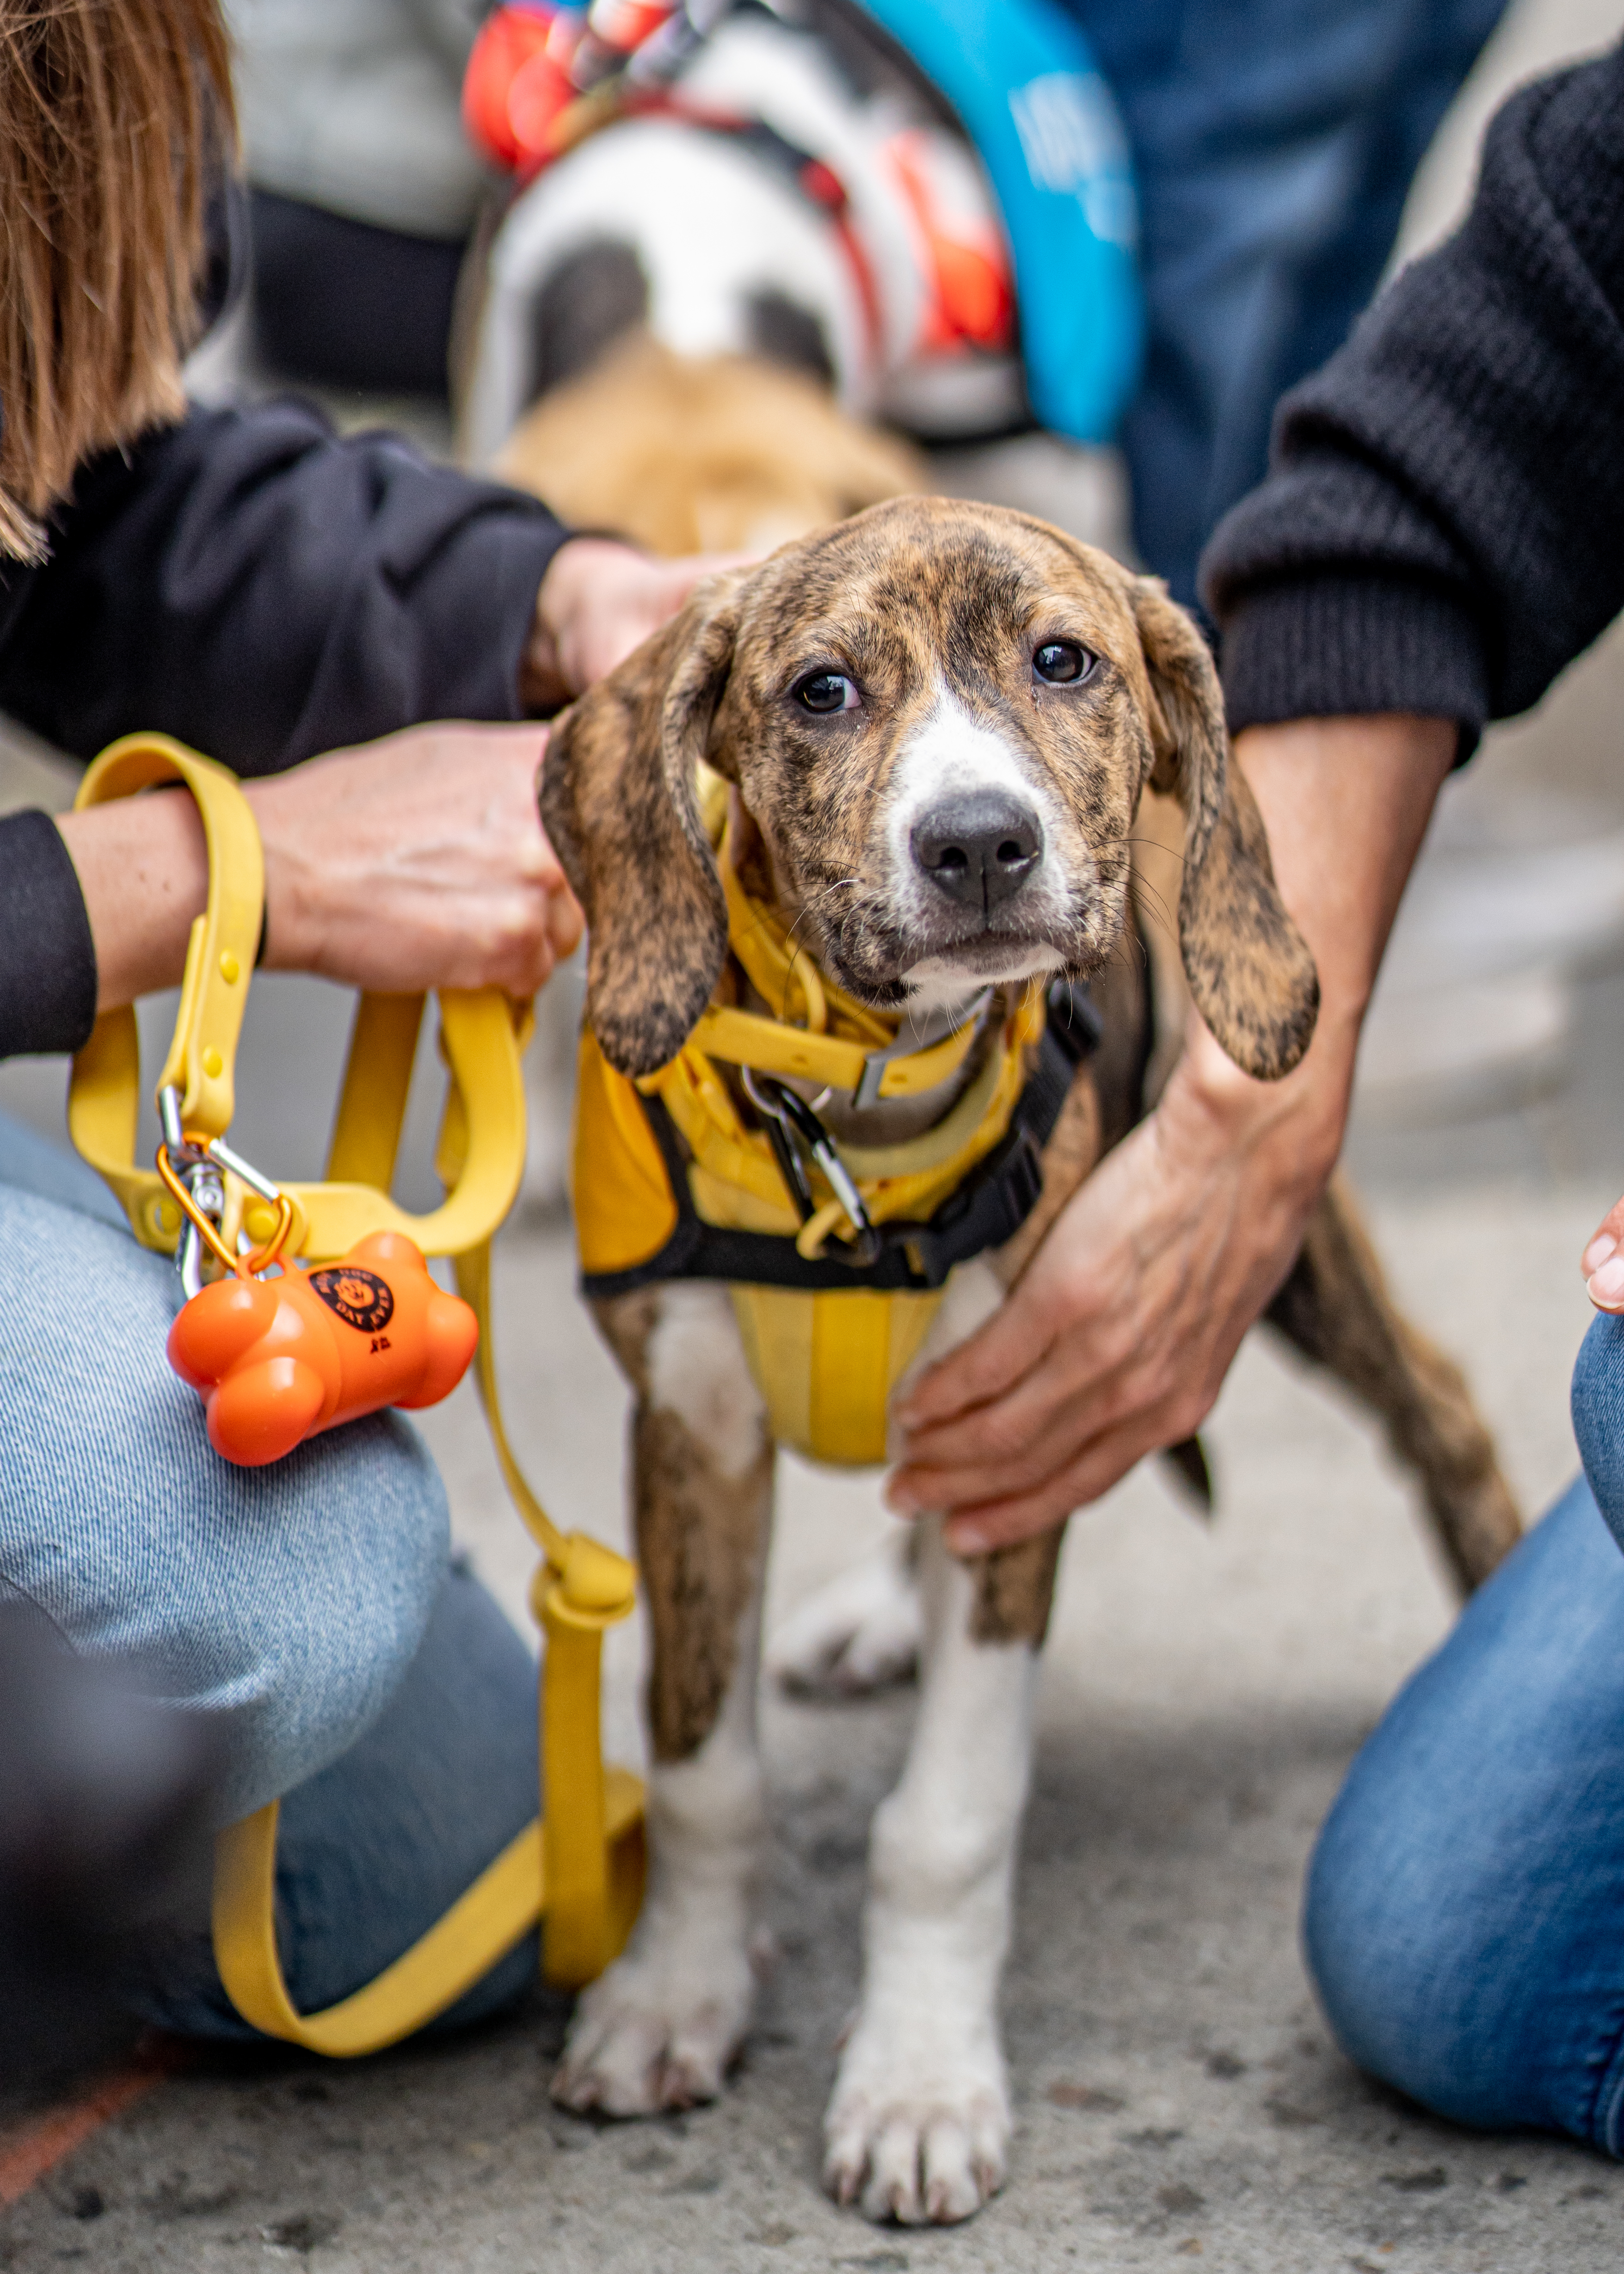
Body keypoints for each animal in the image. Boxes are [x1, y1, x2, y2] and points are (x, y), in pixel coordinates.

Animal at [536, 493, 1510, 2219]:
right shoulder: (695, 1428)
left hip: (1281, 1238)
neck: (861, 1135)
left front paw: (917, 2081)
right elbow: (706, 1765)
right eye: (821, 692)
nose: (980, 841)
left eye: (1064, 661)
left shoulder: (1044, 1412)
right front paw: (672, 1995)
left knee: (1444, 1410)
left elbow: (946, 1818)